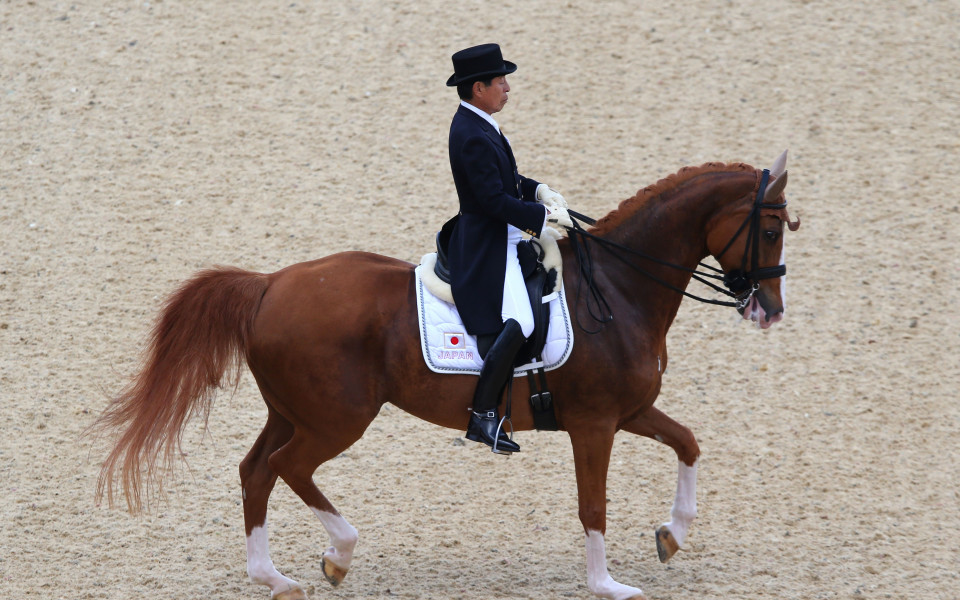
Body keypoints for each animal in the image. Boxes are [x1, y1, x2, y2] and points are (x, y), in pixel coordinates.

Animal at [94, 152, 804, 596]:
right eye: (771, 230)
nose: (769, 310)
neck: (621, 288)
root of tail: (269, 284)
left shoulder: (630, 412)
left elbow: (688, 443)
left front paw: (671, 536)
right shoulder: (596, 424)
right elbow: (593, 503)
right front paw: (608, 585)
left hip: (292, 411)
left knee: (255, 472)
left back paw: (276, 578)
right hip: (336, 420)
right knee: (285, 468)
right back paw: (337, 555)